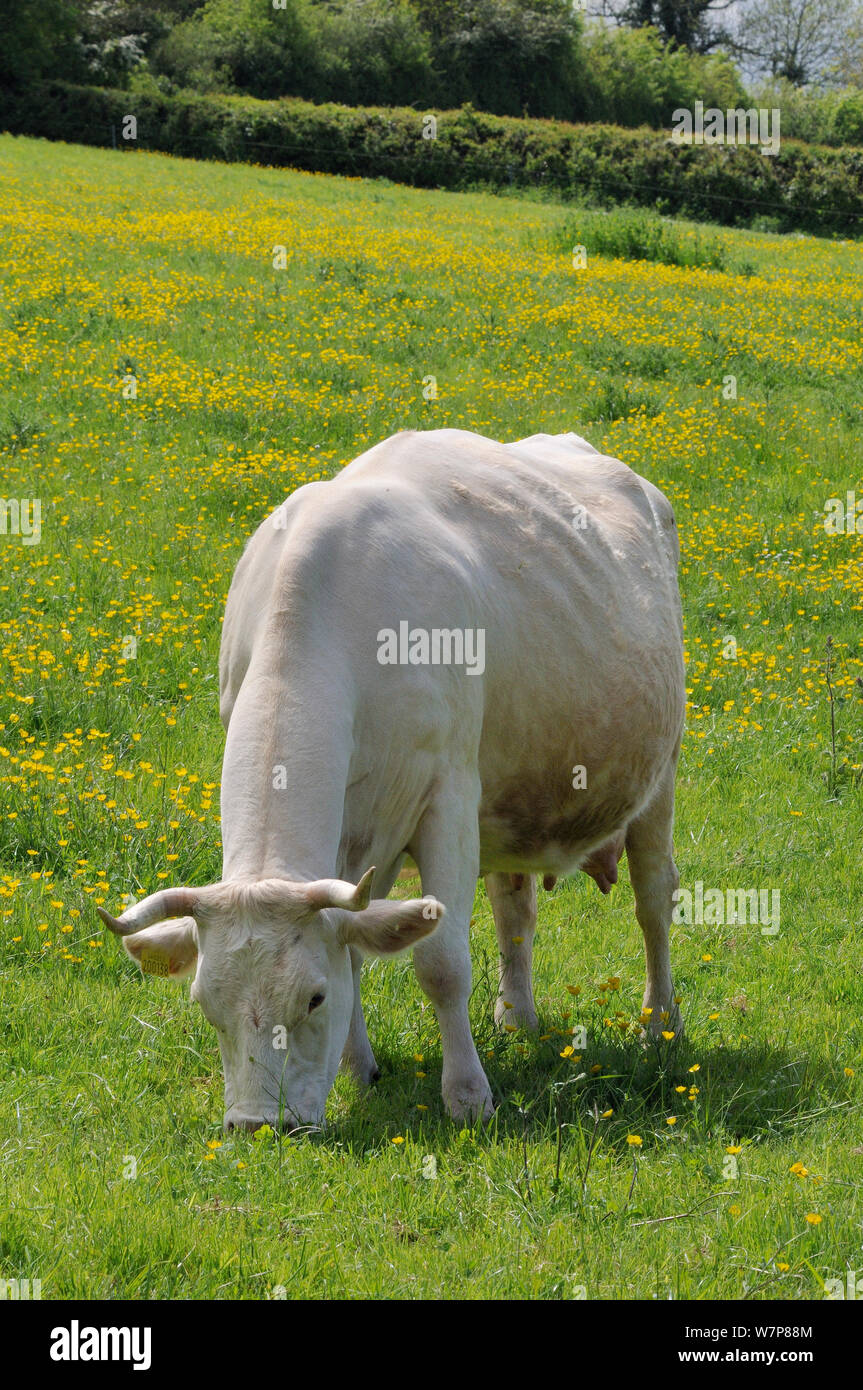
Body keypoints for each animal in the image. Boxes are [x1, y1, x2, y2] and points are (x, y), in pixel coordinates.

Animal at [98, 428, 685, 1130]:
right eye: (205, 1004)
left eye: (313, 999)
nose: (257, 1124)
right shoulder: (353, 838)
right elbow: (353, 946)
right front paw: (360, 1071)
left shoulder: (448, 798)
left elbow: (441, 962)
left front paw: (468, 1097)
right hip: (511, 797)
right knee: (514, 908)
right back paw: (517, 1017)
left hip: (659, 772)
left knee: (654, 900)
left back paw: (660, 1026)